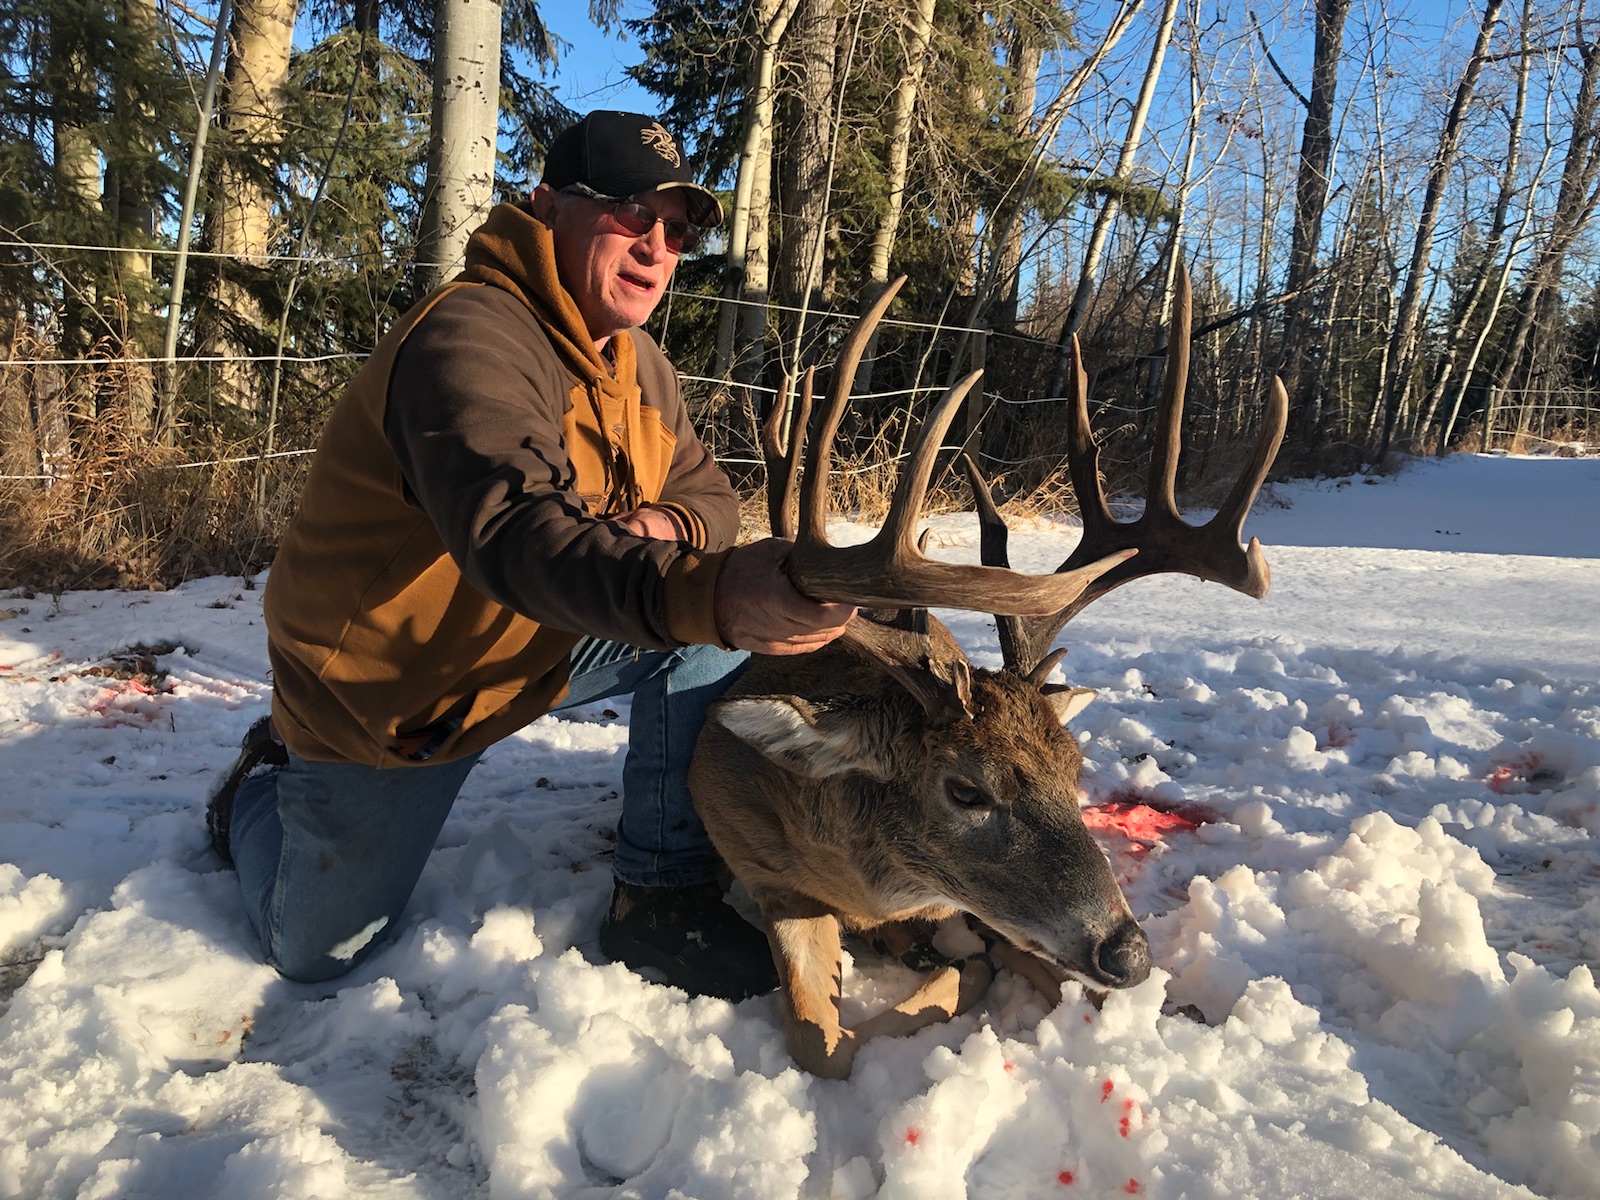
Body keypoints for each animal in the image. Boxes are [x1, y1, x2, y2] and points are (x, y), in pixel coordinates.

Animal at [688, 267, 1287, 1078]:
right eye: (966, 790)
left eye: (1075, 769)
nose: (1130, 953)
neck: (872, 889)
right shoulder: (768, 877)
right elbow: (823, 1045)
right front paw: (956, 971)